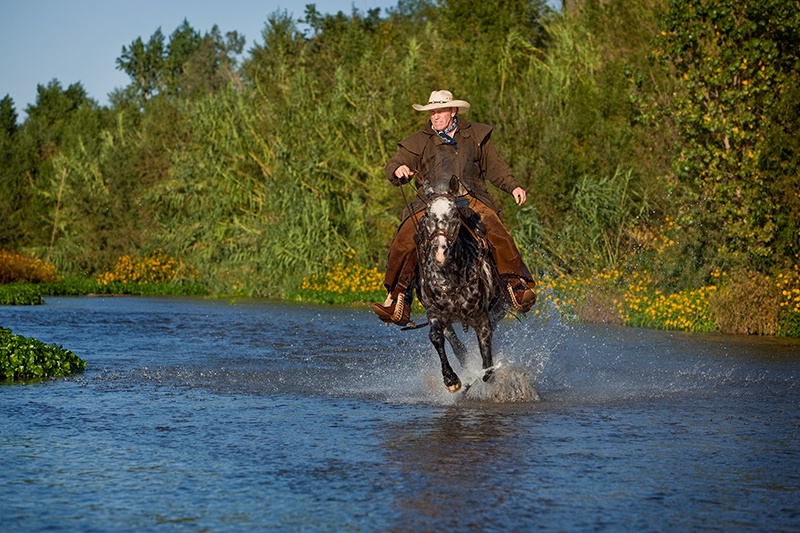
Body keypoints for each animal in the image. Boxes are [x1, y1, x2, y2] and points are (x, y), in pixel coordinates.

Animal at [416, 175, 510, 390]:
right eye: (427, 213)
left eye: (454, 214)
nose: (440, 252)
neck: (451, 276)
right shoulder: (434, 312)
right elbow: (437, 337)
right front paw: (451, 379)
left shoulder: (482, 318)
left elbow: (487, 361)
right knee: (456, 344)